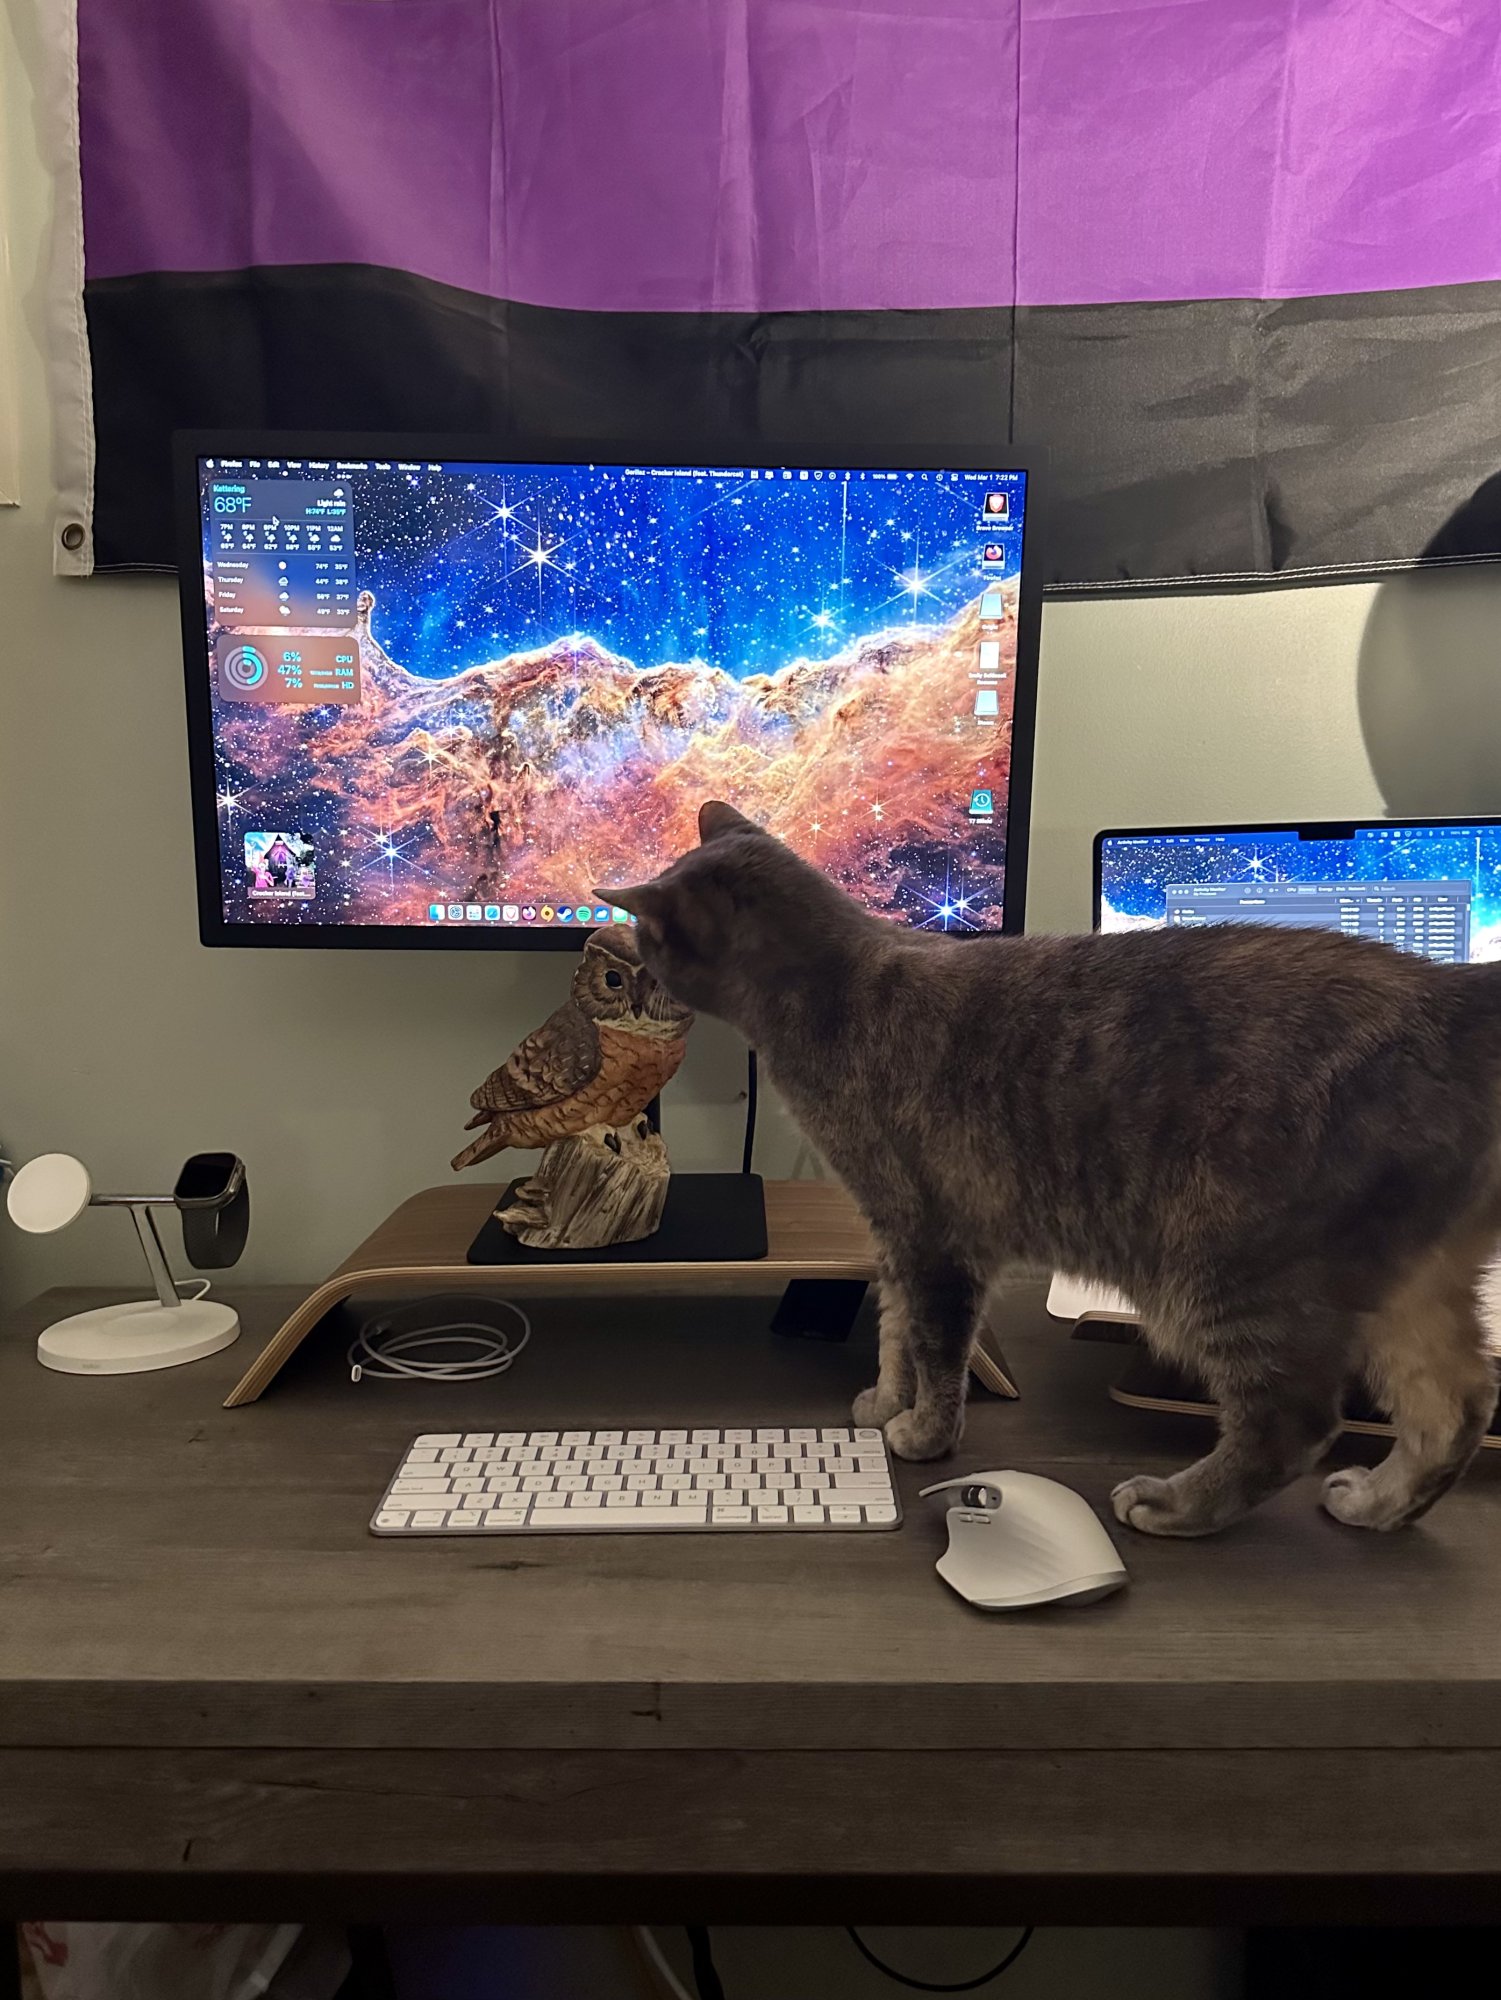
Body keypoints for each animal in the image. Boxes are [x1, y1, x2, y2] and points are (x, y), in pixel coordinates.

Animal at [605, 801, 1501, 1537]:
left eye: (647, 939)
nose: (630, 962)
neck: (837, 985)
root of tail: (1451, 997)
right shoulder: (892, 1235)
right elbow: (894, 1335)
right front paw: (884, 1401)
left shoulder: (935, 1239)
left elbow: (936, 1352)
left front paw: (922, 1434)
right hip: (1412, 1289)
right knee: (1456, 1405)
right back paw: (1380, 1504)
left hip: (1231, 1269)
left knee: (1294, 1420)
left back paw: (1175, 1505)